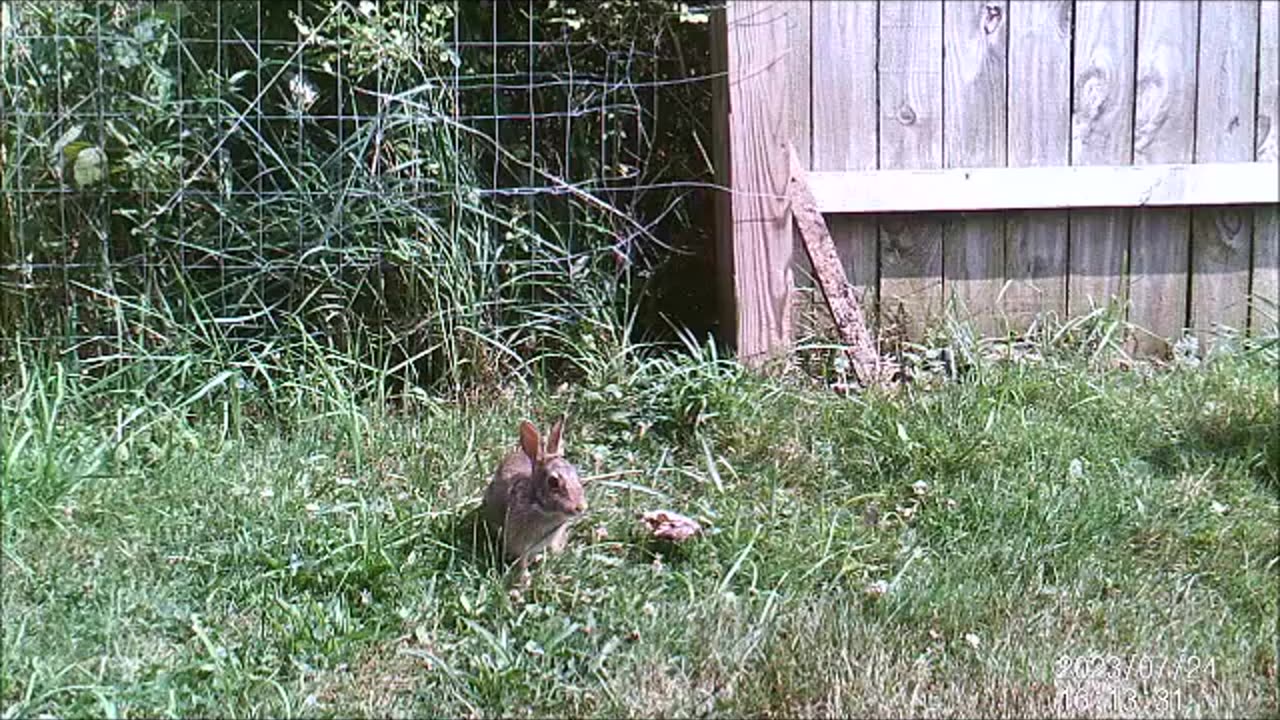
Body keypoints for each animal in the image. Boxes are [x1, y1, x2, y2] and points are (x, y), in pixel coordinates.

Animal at [478, 415, 586, 571]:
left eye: (576, 476)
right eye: (553, 482)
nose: (581, 507)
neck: (539, 506)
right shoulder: (519, 542)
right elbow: (522, 560)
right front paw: (524, 576)